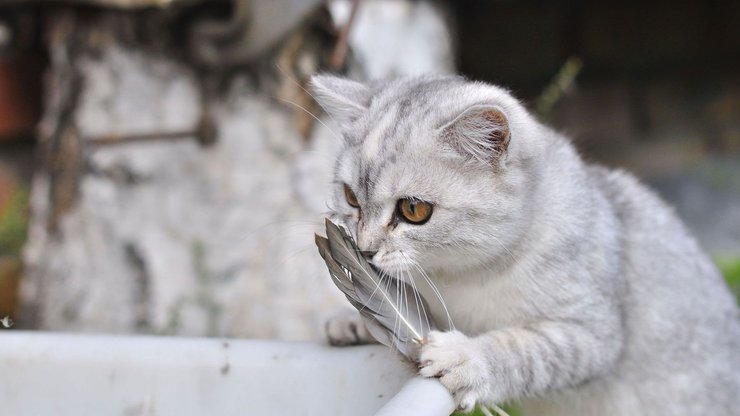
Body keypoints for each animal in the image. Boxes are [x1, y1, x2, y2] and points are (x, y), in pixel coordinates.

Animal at [312, 75, 740, 416]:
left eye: (413, 210)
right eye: (350, 198)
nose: (364, 249)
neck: (458, 278)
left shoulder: (591, 334)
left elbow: (523, 350)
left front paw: (467, 359)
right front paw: (353, 317)